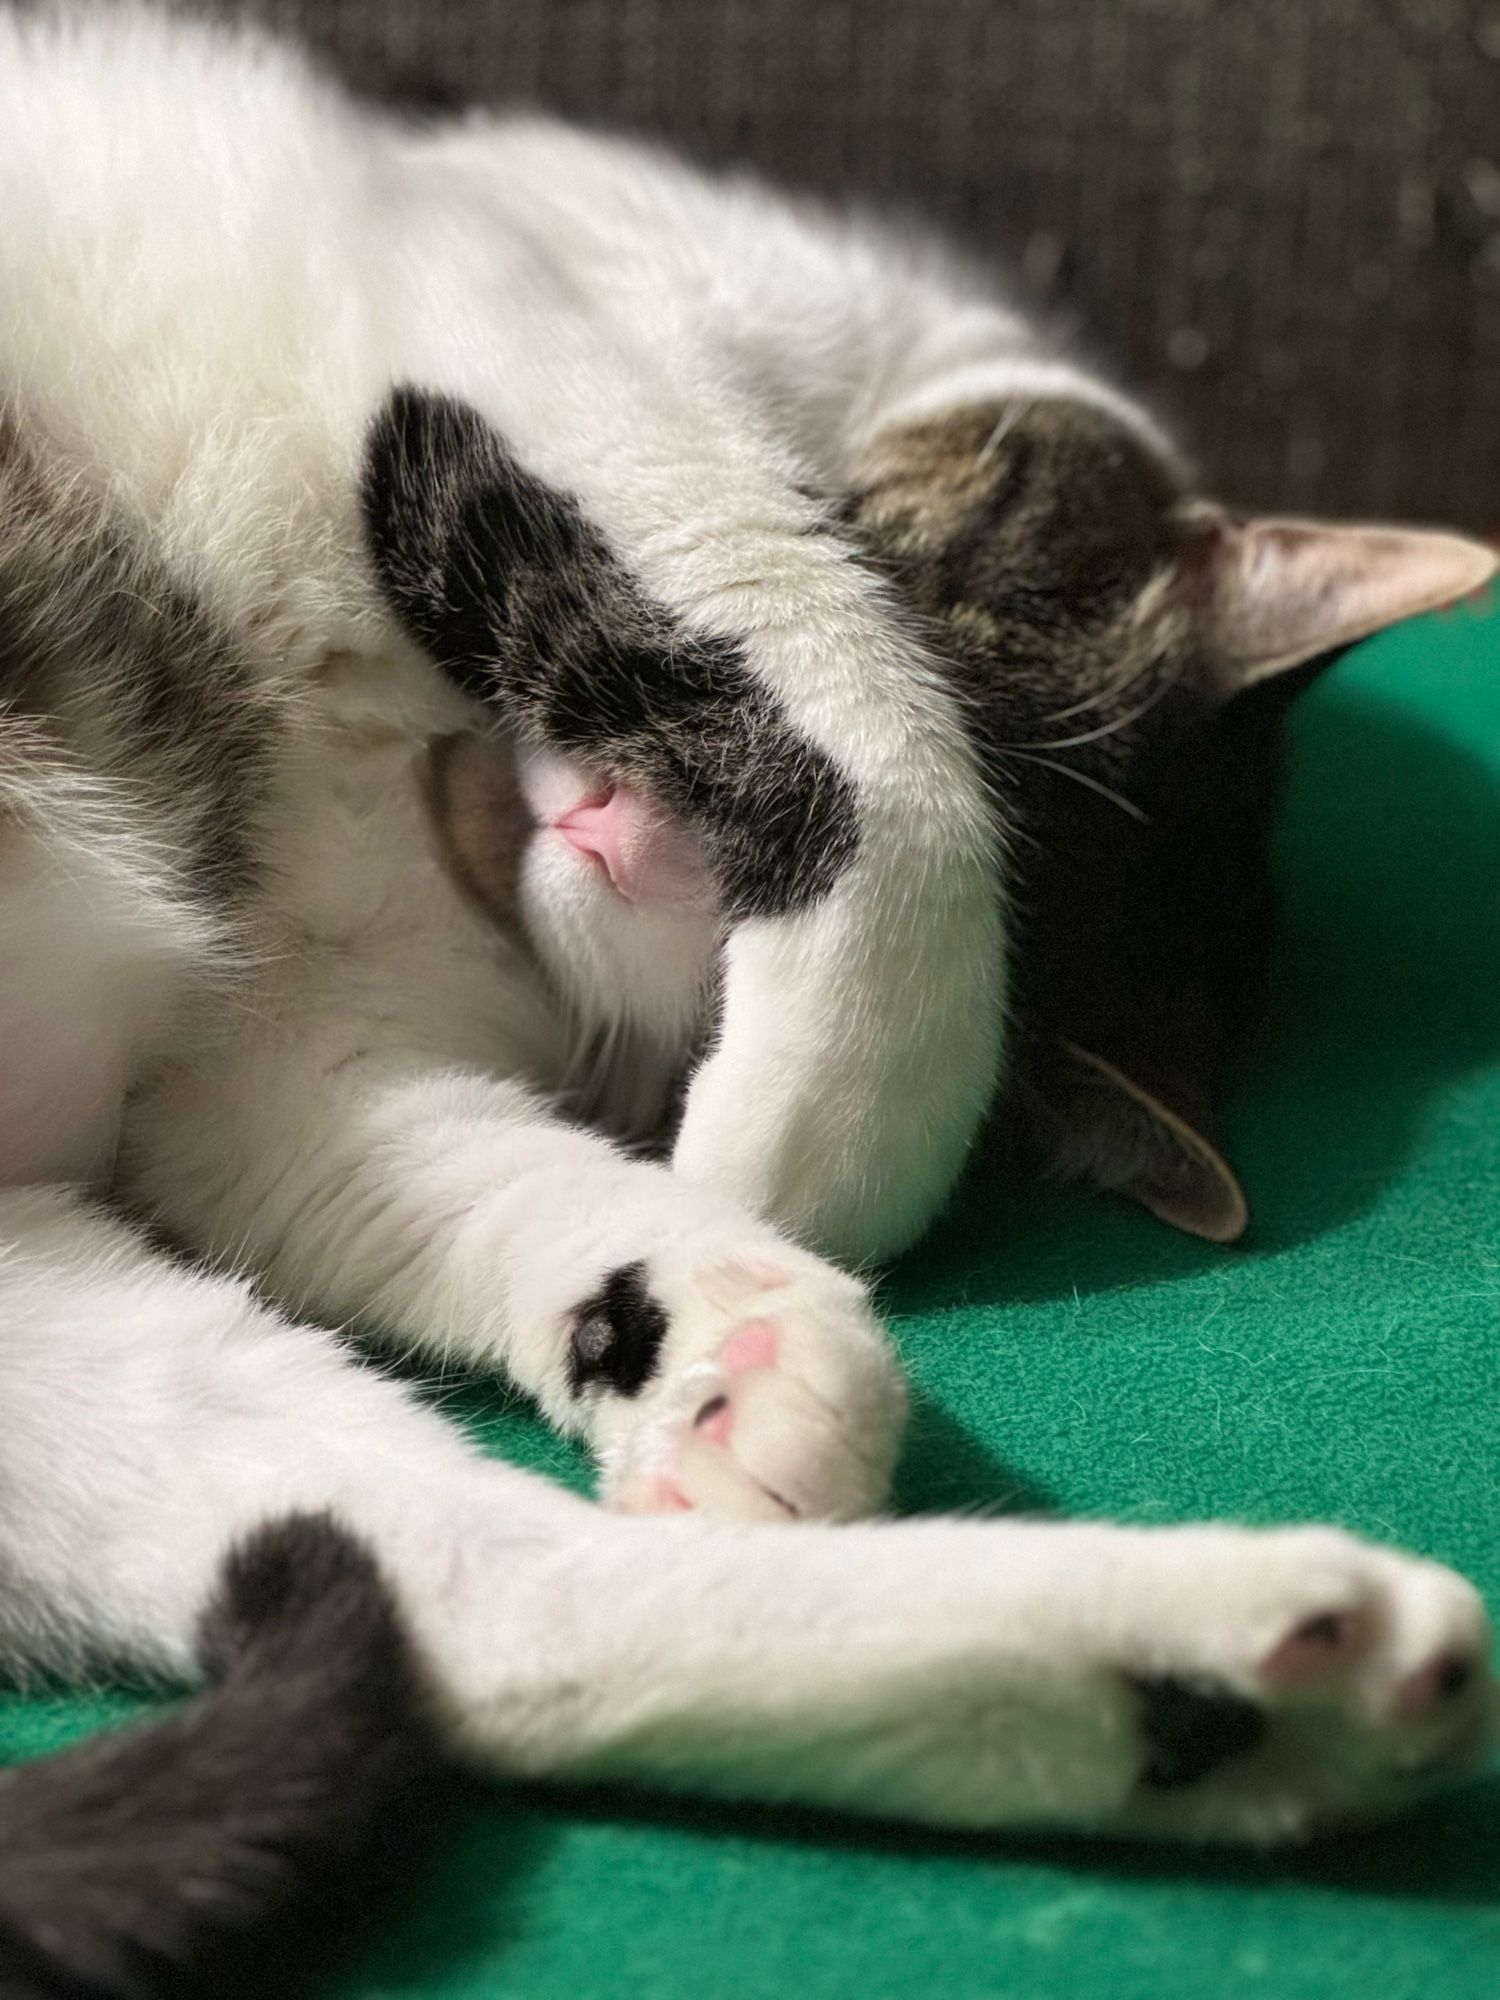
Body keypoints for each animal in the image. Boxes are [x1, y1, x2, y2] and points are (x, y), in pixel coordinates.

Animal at [2, 7, 1500, 1992]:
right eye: (945, 639)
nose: (617, 828)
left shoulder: (277, 1067)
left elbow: (456, 1168)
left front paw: (739, 1317)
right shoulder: (488, 313)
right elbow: (841, 682)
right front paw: (797, 1155)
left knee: (490, 1607)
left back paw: (1275, 1682)